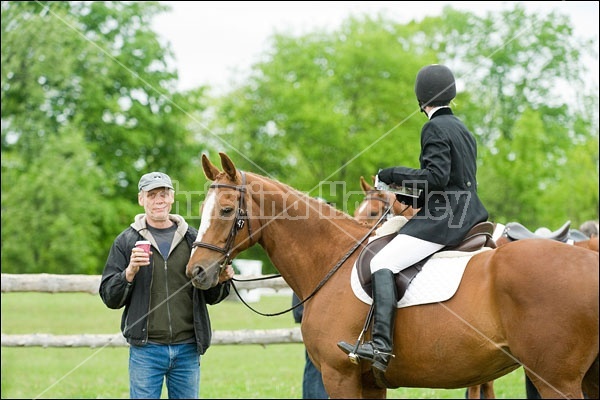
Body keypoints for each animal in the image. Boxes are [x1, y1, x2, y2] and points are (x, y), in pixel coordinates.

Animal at [188, 152, 600, 398]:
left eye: (226, 210)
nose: (196, 272)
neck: (332, 260)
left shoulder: (340, 376)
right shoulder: (370, 383)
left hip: (555, 380)